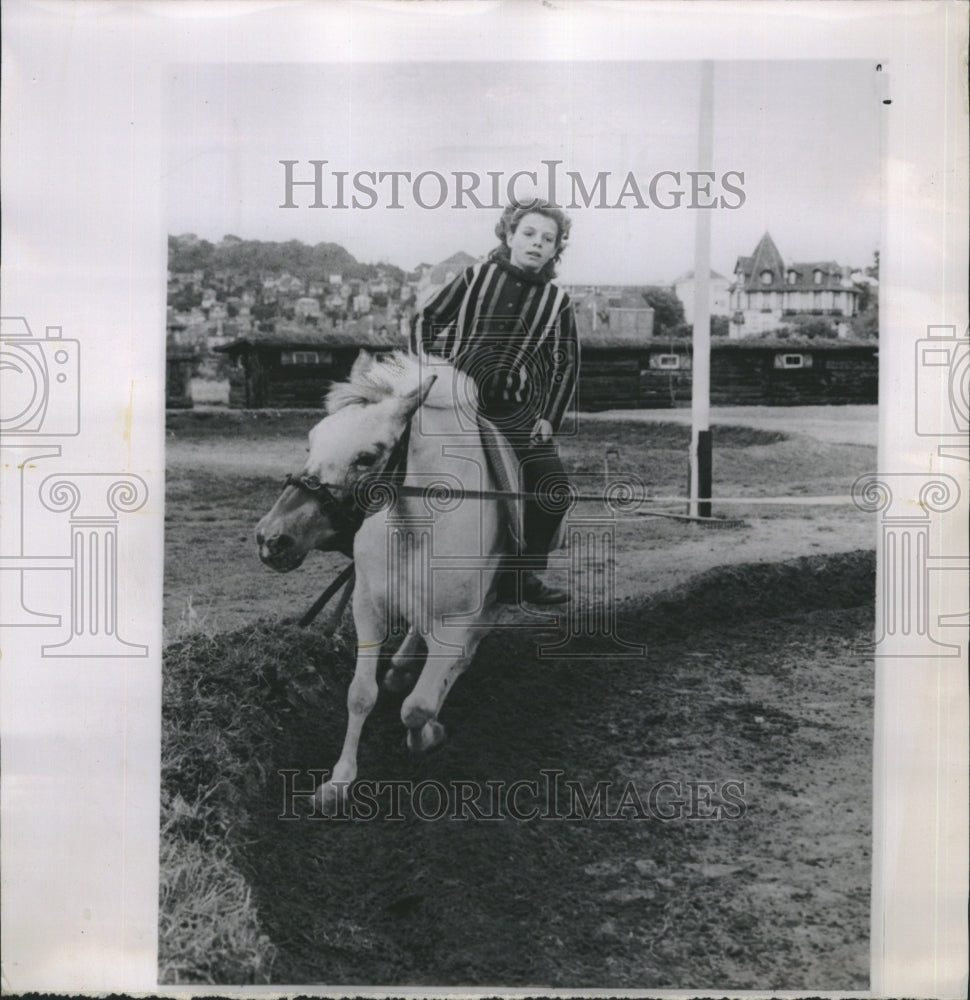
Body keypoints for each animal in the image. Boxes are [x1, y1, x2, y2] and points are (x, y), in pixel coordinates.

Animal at [258, 352, 516, 812]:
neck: (413, 528)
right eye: (311, 444)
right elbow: (361, 693)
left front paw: (428, 735)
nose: (273, 538)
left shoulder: (455, 622)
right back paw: (401, 665)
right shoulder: (368, 607)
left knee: (461, 657)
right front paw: (339, 781)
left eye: (366, 457)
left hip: (488, 605)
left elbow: (419, 706)